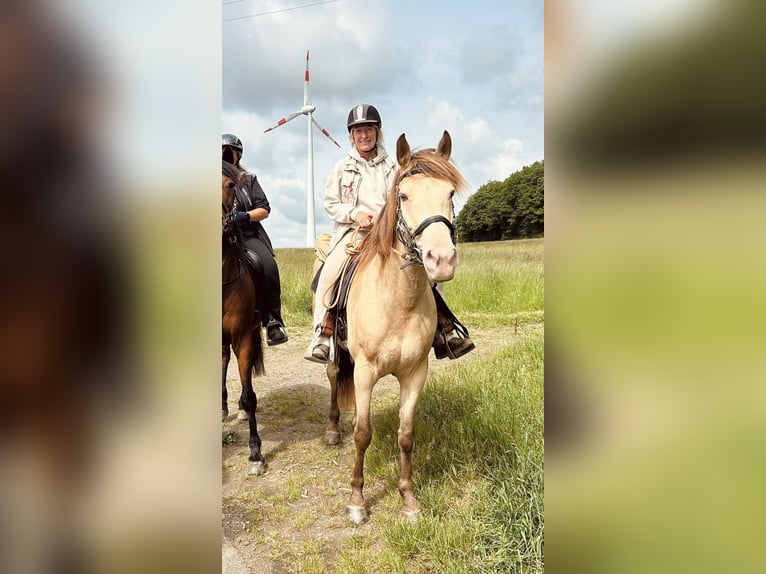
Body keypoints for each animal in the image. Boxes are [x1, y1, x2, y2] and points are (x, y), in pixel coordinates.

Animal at [323, 131, 468, 524]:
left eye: (451, 193)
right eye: (403, 196)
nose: (441, 260)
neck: (397, 299)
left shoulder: (415, 372)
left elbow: (406, 434)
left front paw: (408, 498)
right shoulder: (364, 372)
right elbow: (362, 433)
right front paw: (357, 501)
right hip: (336, 354)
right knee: (333, 378)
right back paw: (332, 429)